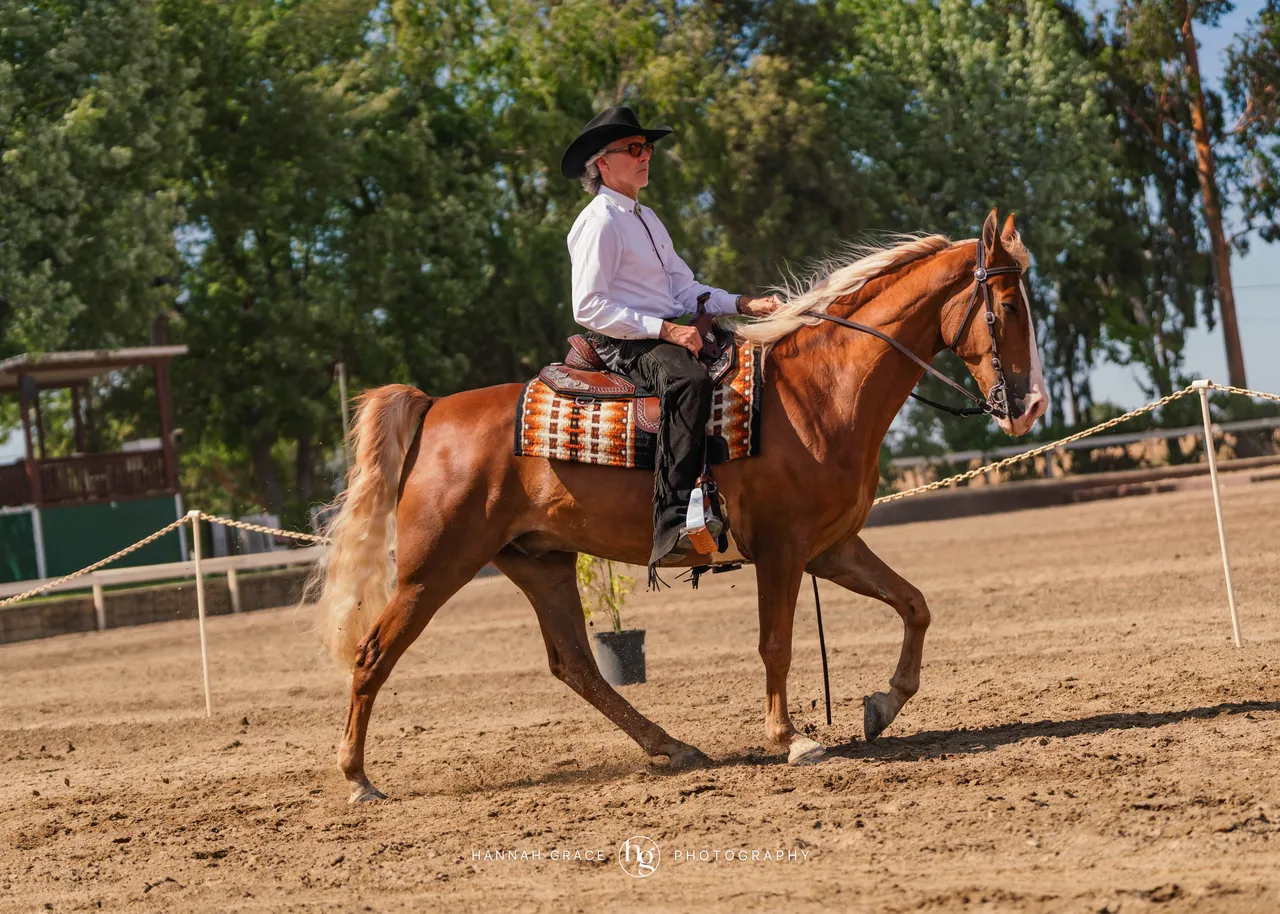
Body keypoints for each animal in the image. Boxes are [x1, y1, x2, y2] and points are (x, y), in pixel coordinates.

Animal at [310, 209, 1047, 802]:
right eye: (1008, 306)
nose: (1032, 404)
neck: (818, 391)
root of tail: (435, 408)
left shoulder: (832, 547)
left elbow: (914, 604)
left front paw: (882, 705)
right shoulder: (781, 550)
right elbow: (776, 643)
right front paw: (792, 738)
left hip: (540, 563)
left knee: (577, 665)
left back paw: (673, 747)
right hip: (434, 568)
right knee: (372, 654)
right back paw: (358, 778)